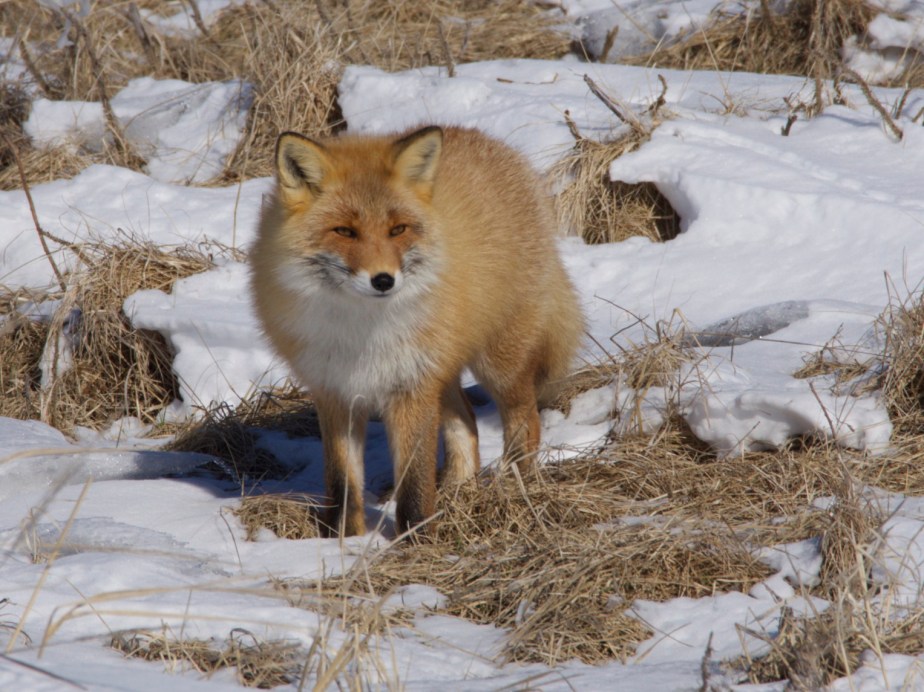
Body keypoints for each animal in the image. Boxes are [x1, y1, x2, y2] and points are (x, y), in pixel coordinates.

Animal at [250, 125, 584, 538]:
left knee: (525, 423)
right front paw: (344, 538)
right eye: (344, 231)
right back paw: (460, 490)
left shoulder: (410, 388)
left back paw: (515, 488)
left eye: (398, 230)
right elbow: (343, 483)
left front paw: (416, 539)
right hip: (443, 369)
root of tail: (495, 145)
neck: (359, 332)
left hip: (498, 365)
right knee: (467, 422)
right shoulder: (336, 392)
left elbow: (414, 482)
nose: (383, 280)